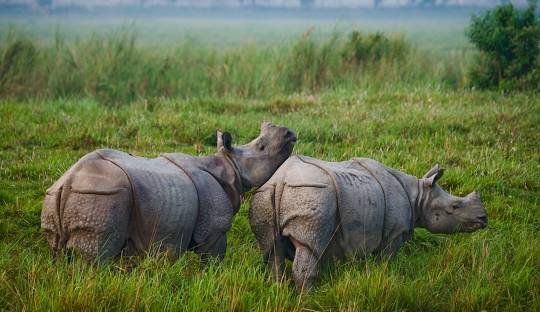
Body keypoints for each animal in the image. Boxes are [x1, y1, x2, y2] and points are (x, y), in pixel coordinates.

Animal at [41, 122, 296, 260]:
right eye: (261, 147)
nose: (289, 133)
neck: (229, 164)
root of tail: (68, 181)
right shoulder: (213, 231)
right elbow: (213, 259)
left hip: (61, 196)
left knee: (59, 252)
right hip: (102, 195)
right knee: (96, 256)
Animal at [249, 156, 490, 292]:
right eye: (454, 207)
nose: (484, 219)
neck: (419, 196)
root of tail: (281, 179)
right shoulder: (394, 233)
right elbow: (387, 259)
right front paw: (387, 276)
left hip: (266, 194)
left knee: (272, 250)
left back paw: (278, 292)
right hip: (313, 193)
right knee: (309, 248)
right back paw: (308, 300)